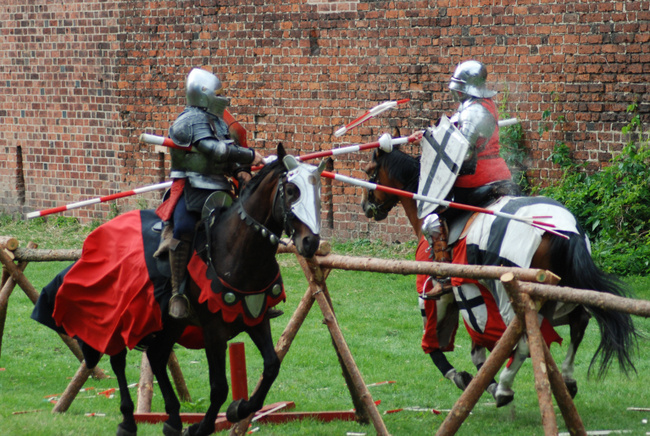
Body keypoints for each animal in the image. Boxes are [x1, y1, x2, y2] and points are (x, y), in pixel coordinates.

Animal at [33, 145, 322, 434]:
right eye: (291, 191)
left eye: (317, 192)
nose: (310, 242)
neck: (236, 249)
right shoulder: (213, 329)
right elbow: (219, 387)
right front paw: (202, 427)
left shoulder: (256, 317)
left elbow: (272, 367)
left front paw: (238, 408)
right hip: (116, 315)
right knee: (118, 358)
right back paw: (128, 420)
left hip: (170, 323)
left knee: (156, 356)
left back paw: (172, 418)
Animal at [356, 148, 636, 408]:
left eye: (370, 171)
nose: (366, 207)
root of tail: (567, 231)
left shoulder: (449, 297)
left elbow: (448, 345)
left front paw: (468, 380)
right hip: (560, 295)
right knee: (579, 323)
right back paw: (567, 379)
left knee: (524, 340)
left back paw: (504, 386)